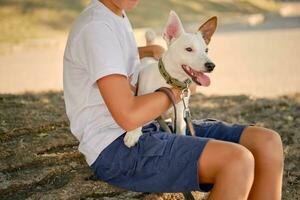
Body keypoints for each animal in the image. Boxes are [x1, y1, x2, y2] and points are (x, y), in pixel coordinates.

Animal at [123, 10, 217, 148]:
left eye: (206, 50)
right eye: (189, 49)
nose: (211, 65)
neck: (168, 83)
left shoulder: (180, 117)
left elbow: (179, 130)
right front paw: (133, 133)